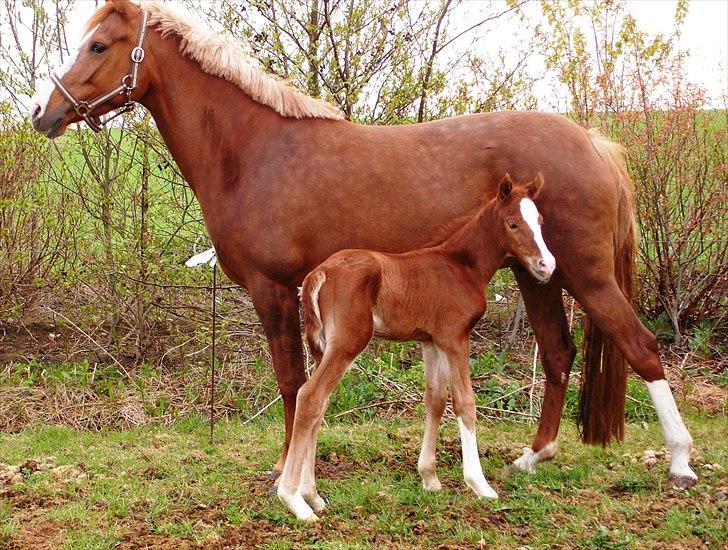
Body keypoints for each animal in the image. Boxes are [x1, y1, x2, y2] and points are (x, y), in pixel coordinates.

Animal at [276, 174, 556, 520]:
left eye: (540, 221)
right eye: (513, 223)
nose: (547, 265)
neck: (462, 265)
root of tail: (320, 273)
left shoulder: (430, 341)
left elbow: (435, 399)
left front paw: (430, 478)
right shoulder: (454, 337)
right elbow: (465, 402)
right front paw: (480, 484)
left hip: (323, 347)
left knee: (319, 403)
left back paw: (311, 494)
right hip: (347, 343)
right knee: (311, 396)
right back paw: (294, 501)